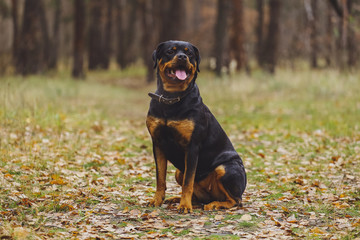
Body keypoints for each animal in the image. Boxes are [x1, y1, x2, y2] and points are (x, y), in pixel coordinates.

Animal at [146, 40, 245, 213]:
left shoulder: (192, 146)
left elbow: (188, 182)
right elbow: (160, 178)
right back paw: (176, 199)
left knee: (236, 200)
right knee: (198, 196)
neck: (172, 97)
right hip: (179, 171)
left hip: (225, 168)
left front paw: (185, 206)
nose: (182, 57)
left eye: (189, 53)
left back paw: (215, 204)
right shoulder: (157, 144)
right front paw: (157, 200)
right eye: (170, 51)